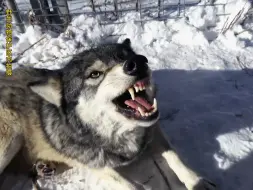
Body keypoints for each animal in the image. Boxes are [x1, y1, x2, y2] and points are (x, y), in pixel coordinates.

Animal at [0, 38, 216, 190]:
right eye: (95, 74)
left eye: (124, 56)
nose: (138, 62)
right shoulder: (99, 166)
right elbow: (130, 186)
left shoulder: (153, 130)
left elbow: (176, 158)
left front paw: (198, 183)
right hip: (10, 140)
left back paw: (43, 167)